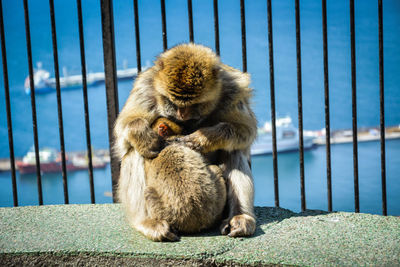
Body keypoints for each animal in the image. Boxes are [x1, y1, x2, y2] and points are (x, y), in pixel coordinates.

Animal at [114, 43, 258, 241]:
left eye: (194, 105)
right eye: (173, 103)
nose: (182, 115)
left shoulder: (234, 89)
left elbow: (246, 129)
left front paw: (202, 139)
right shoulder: (144, 88)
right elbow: (123, 132)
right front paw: (144, 136)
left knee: (232, 149)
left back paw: (240, 216)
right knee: (134, 151)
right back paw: (147, 222)